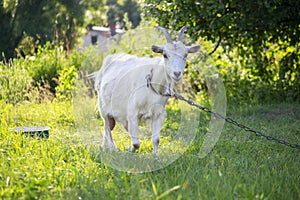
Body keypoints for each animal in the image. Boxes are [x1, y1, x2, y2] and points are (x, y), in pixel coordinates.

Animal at [95, 25, 200, 155]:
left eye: (185, 55)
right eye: (165, 55)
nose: (177, 73)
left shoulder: (158, 113)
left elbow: (156, 139)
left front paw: (156, 156)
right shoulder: (132, 112)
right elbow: (136, 143)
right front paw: (129, 149)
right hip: (103, 107)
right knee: (107, 126)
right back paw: (110, 147)